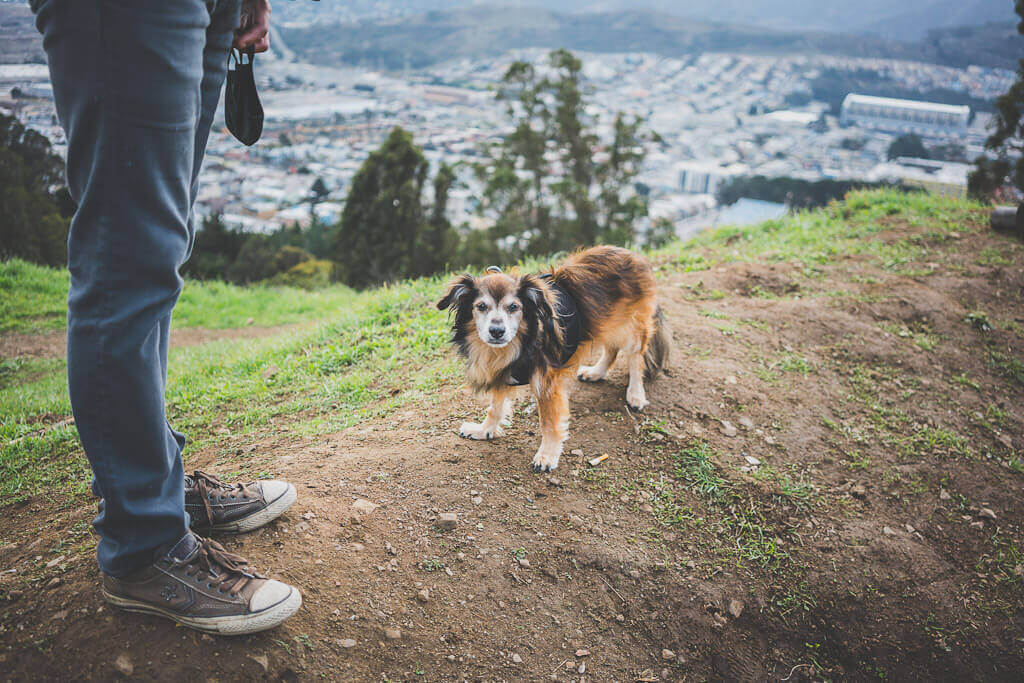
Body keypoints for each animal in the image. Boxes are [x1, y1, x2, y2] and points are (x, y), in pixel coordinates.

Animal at [434, 246, 667, 475]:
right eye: (481, 307)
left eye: (514, 307)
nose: (497, 331)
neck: (520, 342)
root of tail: (634, 255)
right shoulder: (503, 372)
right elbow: (495, 408)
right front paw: (484, 430)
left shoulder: (547, 384)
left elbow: (548, 423)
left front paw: (547, 455)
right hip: (606, 321)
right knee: (611, 348)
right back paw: (596, 372)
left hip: (633, 325)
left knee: (636, 358)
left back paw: (635, 394)